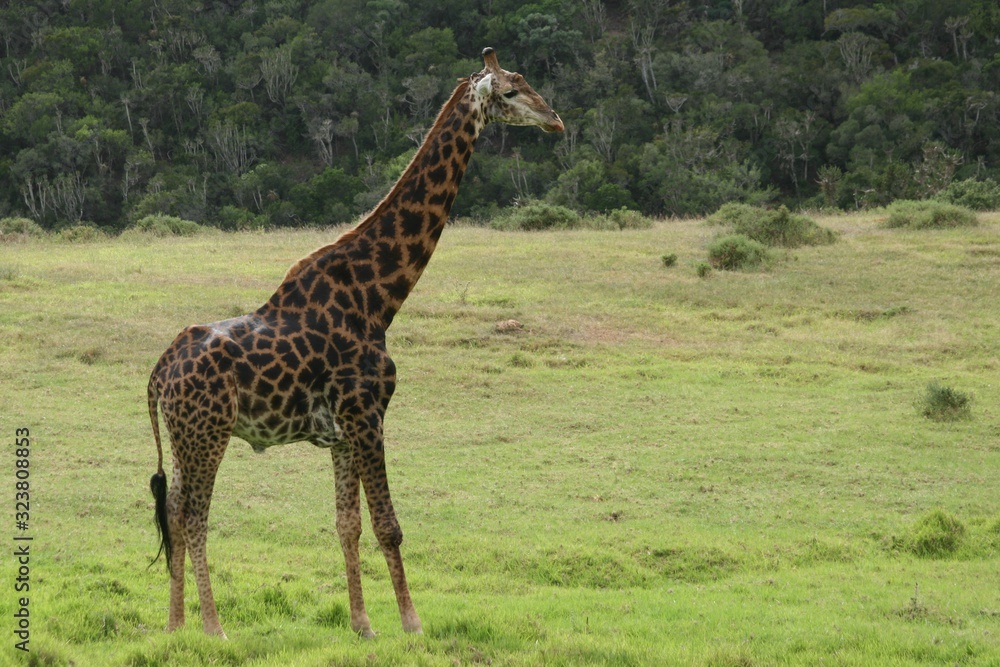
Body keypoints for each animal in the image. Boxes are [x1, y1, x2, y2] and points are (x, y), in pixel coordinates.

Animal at [147, 48, 562, 639]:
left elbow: (347, 525)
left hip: (184, 437)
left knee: (174, 513)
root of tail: (158, 373)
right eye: (510, 91)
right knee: (194, 517)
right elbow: (389, 524)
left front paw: (363, 624)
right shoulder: (368, 413)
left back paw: (176, 626)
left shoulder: (341, 432)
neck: (379, 297)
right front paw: (412, 622)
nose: (555, 120)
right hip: (208, 433)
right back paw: (213, 628)